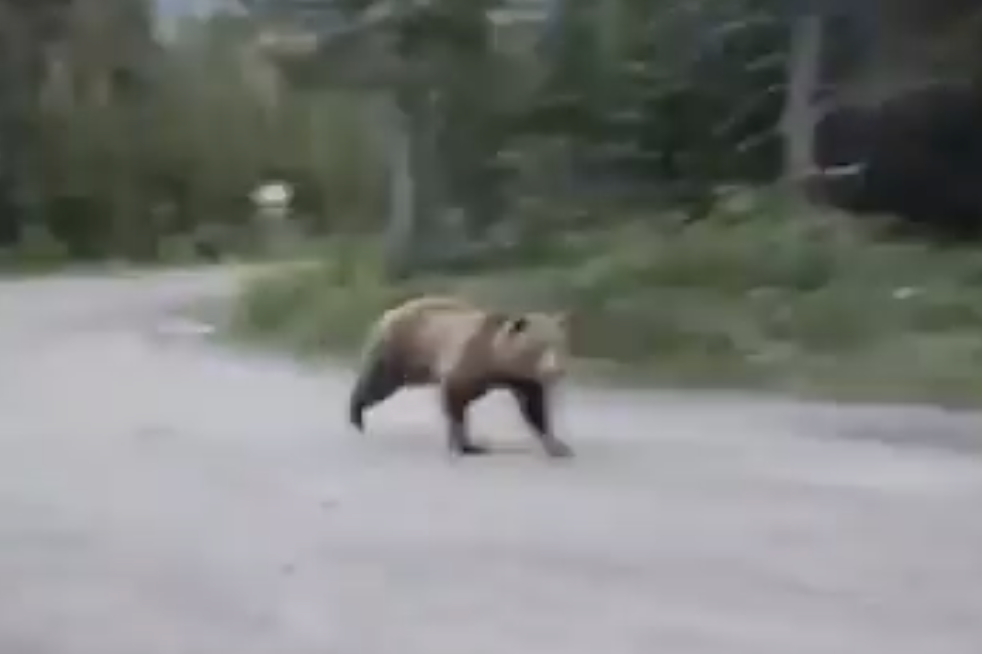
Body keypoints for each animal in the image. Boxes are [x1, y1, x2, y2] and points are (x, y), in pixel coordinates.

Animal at [348, 295, 574, 458]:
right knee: (377, 384)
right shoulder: (467, 361)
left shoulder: (523, 379)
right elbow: (454, 399)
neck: (497, 360)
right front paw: (464, 445)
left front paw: (559, 446)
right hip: (398, 350)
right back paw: (356, 417)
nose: (557, 370)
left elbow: (535, 408)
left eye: (559, 343)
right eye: (539, 346)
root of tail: (390, 312)